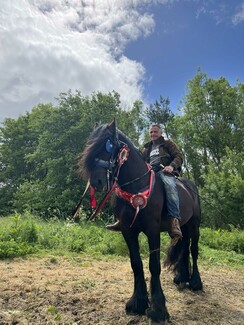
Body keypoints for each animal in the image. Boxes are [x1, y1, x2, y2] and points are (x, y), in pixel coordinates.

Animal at [79, 121, 203, 322]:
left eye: (108, 145)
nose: (96, 181)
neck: (136, 187)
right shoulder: (128, 231)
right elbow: (136, 264)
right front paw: (137, 303)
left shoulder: (152, 230)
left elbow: (154, 266)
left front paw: (158, 309)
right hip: (183, 226)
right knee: (184, 247)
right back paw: (181, 278)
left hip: (194, 226)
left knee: (194, 250)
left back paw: (195, 282)